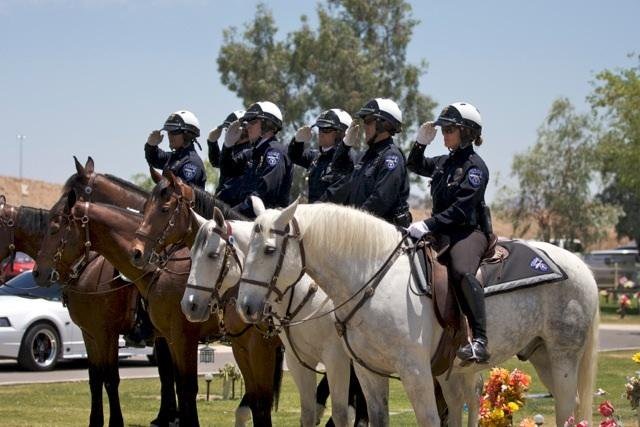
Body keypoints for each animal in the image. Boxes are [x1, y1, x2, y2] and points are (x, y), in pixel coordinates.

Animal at [32, 191, 282, 427]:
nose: (38, 272)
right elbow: (99, 378)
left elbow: (116, 379)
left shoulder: (117, 334)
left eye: (54, 228)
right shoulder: (95, 334)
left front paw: (116, 422)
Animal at [180, 209, 372, 427]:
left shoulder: (267, 351)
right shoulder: (244, 350)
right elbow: (254, 401)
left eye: (213, 255)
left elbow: (263, 404)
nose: (189, 305)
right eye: (191, 256)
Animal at [235, 201, 600, 427]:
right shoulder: (368, 372)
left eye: (269, 250)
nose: (246, 306)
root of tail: (579, 264)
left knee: (565, 410)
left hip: (564, 356)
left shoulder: (414, 371)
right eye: (245, 248)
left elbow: (429, 418)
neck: (374, 277)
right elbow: (376, 418)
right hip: (542, 356)